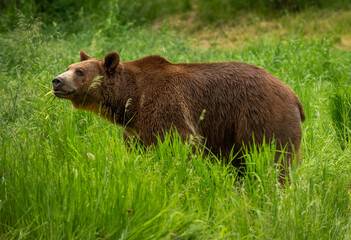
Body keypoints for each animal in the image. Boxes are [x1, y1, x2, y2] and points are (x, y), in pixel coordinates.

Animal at [51, 50, 306, 168]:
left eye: (80, 72)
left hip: (264, 117)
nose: (56, 80)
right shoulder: (135, 130)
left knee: (274, 159)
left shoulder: (166, 107)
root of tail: (293, 94)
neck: (131, 99)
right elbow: (138, 150)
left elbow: (181, 143)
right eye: (69, 66)